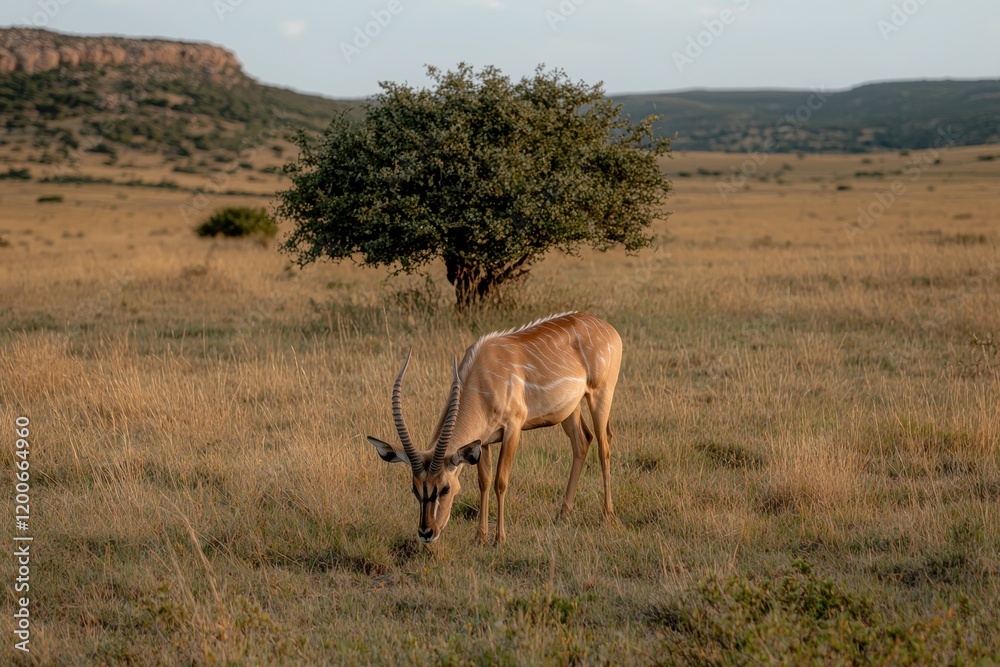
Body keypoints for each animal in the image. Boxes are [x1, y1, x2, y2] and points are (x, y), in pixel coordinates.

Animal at [367, 311, 622, 546]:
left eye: (445, 488)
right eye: (415, 488)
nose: (426, 532)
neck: (481, 375)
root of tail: (608, 328)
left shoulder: (512, 429)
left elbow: (501, 481)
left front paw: (499, 539)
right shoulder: (483, 441)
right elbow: (484, 481)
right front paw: (480, 537)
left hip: (600, 395)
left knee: (604, 446)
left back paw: (606, 516)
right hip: (569, 410)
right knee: (582, 441)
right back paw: (563, 515)